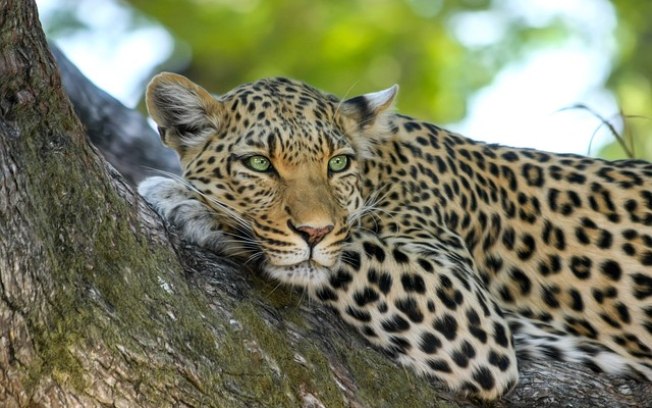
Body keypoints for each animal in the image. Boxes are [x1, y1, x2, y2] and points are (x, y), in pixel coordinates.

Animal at [138, 72, 652, 400]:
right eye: (259, 163)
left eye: (337, 163)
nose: (314, 231)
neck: (379, 169)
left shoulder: (467, 310)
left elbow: (351, 250)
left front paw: (189, 201)